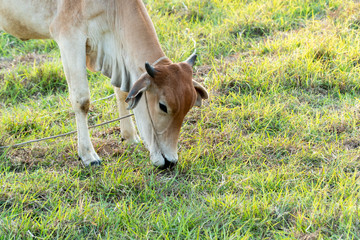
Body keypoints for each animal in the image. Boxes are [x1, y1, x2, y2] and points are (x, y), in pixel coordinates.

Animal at [0, 0, 208, 169]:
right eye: (163, 106)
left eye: (189, 108)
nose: (170, 162)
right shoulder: (69, 38)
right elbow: (82, 100)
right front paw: (88, 155)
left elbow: (121, 93)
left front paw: (130, 137)